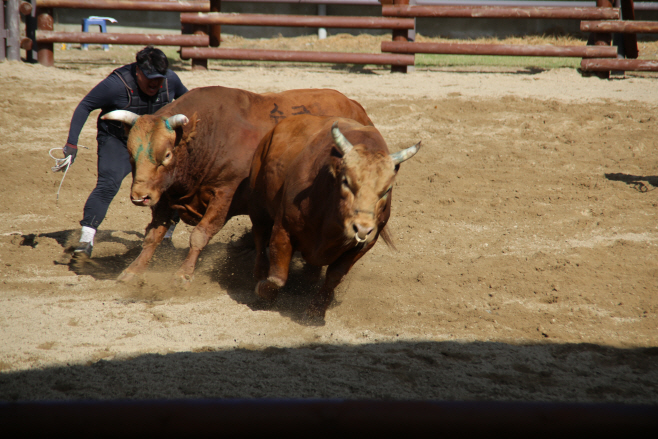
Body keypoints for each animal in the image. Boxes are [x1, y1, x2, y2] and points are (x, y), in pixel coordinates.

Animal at [100, 86, 372, 286]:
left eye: (167, 155)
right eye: (130, 154)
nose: (140, 197)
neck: (210, 137)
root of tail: (357, 108)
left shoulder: (224, 194)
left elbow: (199, 235)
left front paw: (183, 273)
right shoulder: (165, 196)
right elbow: (152, 236)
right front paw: (133, 270)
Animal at [246, 116, 420, 324]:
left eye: (387, 190)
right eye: (346, 181)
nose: (362, 229)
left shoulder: (363, 245)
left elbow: (334, 277)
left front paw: (316, 310)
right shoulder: (283, 227)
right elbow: (277, 276)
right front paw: (264, 291)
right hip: (258, 206)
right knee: (259, 237)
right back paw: (258, 272)